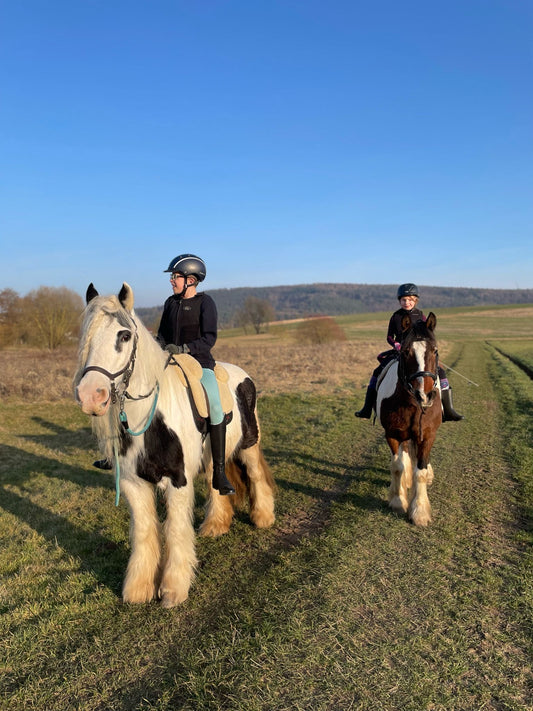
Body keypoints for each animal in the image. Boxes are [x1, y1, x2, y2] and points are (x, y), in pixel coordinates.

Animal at [74, 283, 275, 607]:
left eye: (124, 335)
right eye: (86, 335)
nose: (91, 395)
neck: (151, 418)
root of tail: (241, 374)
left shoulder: (178, 481)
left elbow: (176, 530)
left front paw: (173, 589)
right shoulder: (133, 484)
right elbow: (145, 532)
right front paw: (138, 589)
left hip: (249, 443)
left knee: (256, 475)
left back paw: (263, 518)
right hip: (212, 455)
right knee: (216, 480)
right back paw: (215, 525)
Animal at [376, 312, 442, 527]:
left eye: (435, 350)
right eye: (405, 351)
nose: (425, 395)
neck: (412, 403)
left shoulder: (427, 435)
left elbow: (420, 471)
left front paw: (419, 512)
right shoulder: (393, 434)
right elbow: (397, 466)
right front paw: (398, 502)